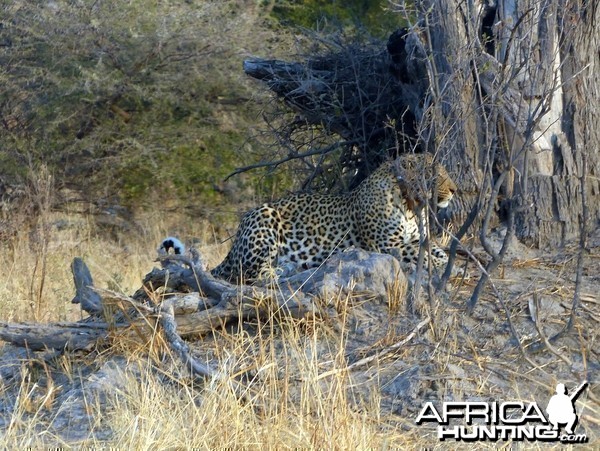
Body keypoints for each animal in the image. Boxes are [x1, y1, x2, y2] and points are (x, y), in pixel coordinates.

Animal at [162, 154, 458, 284]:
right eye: (437, 175)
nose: (455, 190)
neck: (409, 205)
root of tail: (233, 248)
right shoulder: (386, 245)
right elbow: (422, 254)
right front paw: (444, 266)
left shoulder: (416, 238)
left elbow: (435, 249)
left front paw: (446, 261)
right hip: (264, 220)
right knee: (248, 273)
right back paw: (285, 271)